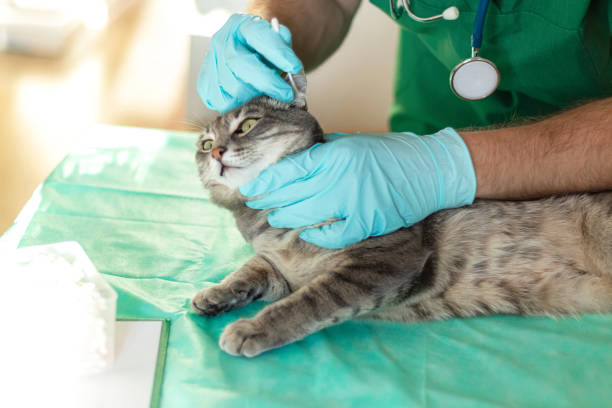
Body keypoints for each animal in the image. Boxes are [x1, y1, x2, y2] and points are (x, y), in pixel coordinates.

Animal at [192, 73, 612, 356]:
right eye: (206, 145)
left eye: (247, 125)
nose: (217, 153)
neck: (267, 219)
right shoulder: (280, 269)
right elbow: (250, 270)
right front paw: (215, 294)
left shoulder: (385, 259)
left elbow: (310, 301)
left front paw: (252, 329)